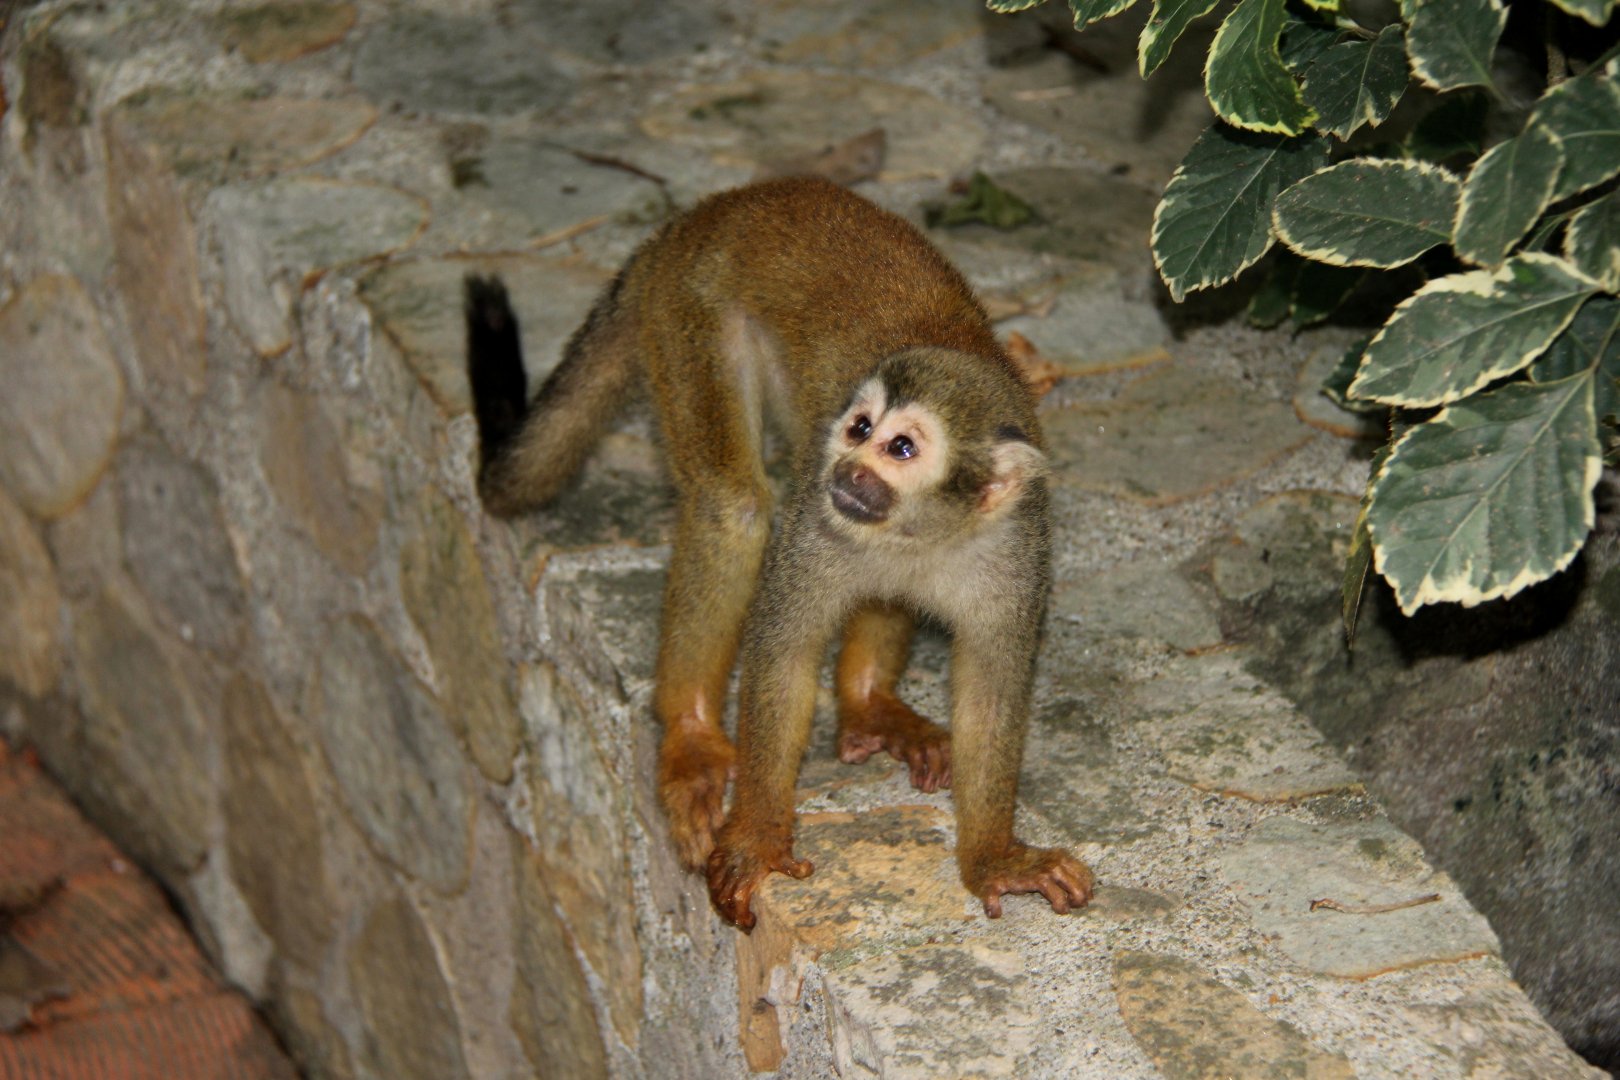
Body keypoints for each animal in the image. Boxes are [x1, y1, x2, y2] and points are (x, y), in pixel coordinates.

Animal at [465, 176, 1092, 930]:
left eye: (900, 447)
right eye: (860, 428)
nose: (845, 469)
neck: (926, 533)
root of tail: (713, 209)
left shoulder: (1020, 554)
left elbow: (991, 697)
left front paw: (995, 856)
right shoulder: (816, 524)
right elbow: (782, 659)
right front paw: (760, 837)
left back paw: (868, 703)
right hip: (691, 312)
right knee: (733, 506)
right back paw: (691, 733)